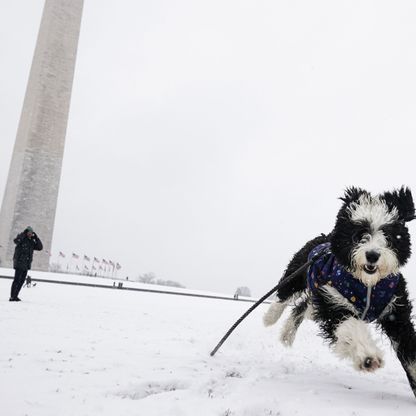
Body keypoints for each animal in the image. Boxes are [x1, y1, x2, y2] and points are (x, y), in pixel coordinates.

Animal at [264, 187, 416, 398]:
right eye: (359, 234)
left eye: (389, 235)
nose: (372, 255)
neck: (368, 285)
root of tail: (325, 237)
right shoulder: (334, 299)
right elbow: (350, 324)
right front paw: (367, 356)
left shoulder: (396, 311)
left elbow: (410, 350)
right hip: (298, 273)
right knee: (284, 294)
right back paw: (270, 317)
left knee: (303, 306)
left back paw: (287, 334)